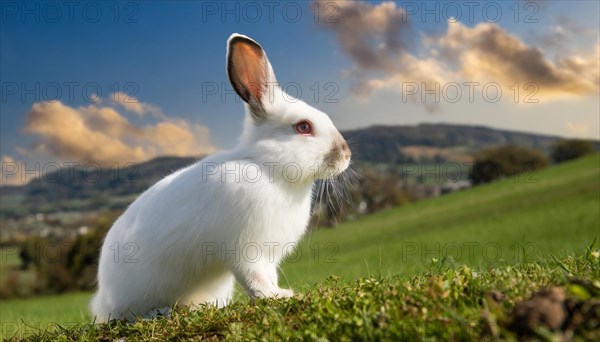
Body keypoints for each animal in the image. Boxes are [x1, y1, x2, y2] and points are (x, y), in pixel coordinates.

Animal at [90, 33, 352, 322]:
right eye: (303, 126)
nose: (346, 154)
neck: (267, 167)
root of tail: (103, 299)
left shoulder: (268, 256)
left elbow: (267, 277)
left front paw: (278, 292)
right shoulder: (245, 251)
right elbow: (255, 280)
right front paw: (279, 296)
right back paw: (161, 311)